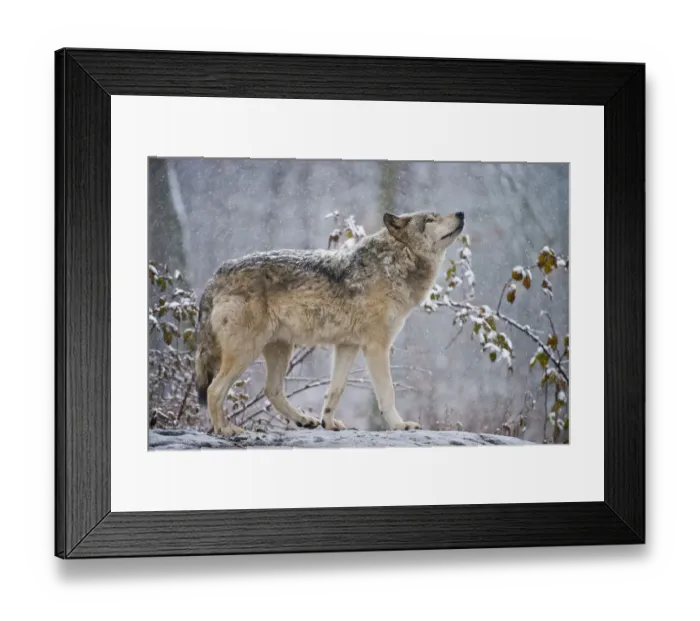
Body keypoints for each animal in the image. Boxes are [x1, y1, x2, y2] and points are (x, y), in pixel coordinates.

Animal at [194, 210, 465, 436]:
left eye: (437, 215)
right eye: (430, 219)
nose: (461, 213)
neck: (395, 262)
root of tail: (215, 276)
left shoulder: (347, 346)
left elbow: (335, 391)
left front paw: (329, 423)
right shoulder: (376, 347)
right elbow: (387, 393)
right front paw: (400, 425)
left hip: (280, 349)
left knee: (271, 390)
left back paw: (304, 420)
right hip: (246, 352)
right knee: (214, 390)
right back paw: (225, 429)